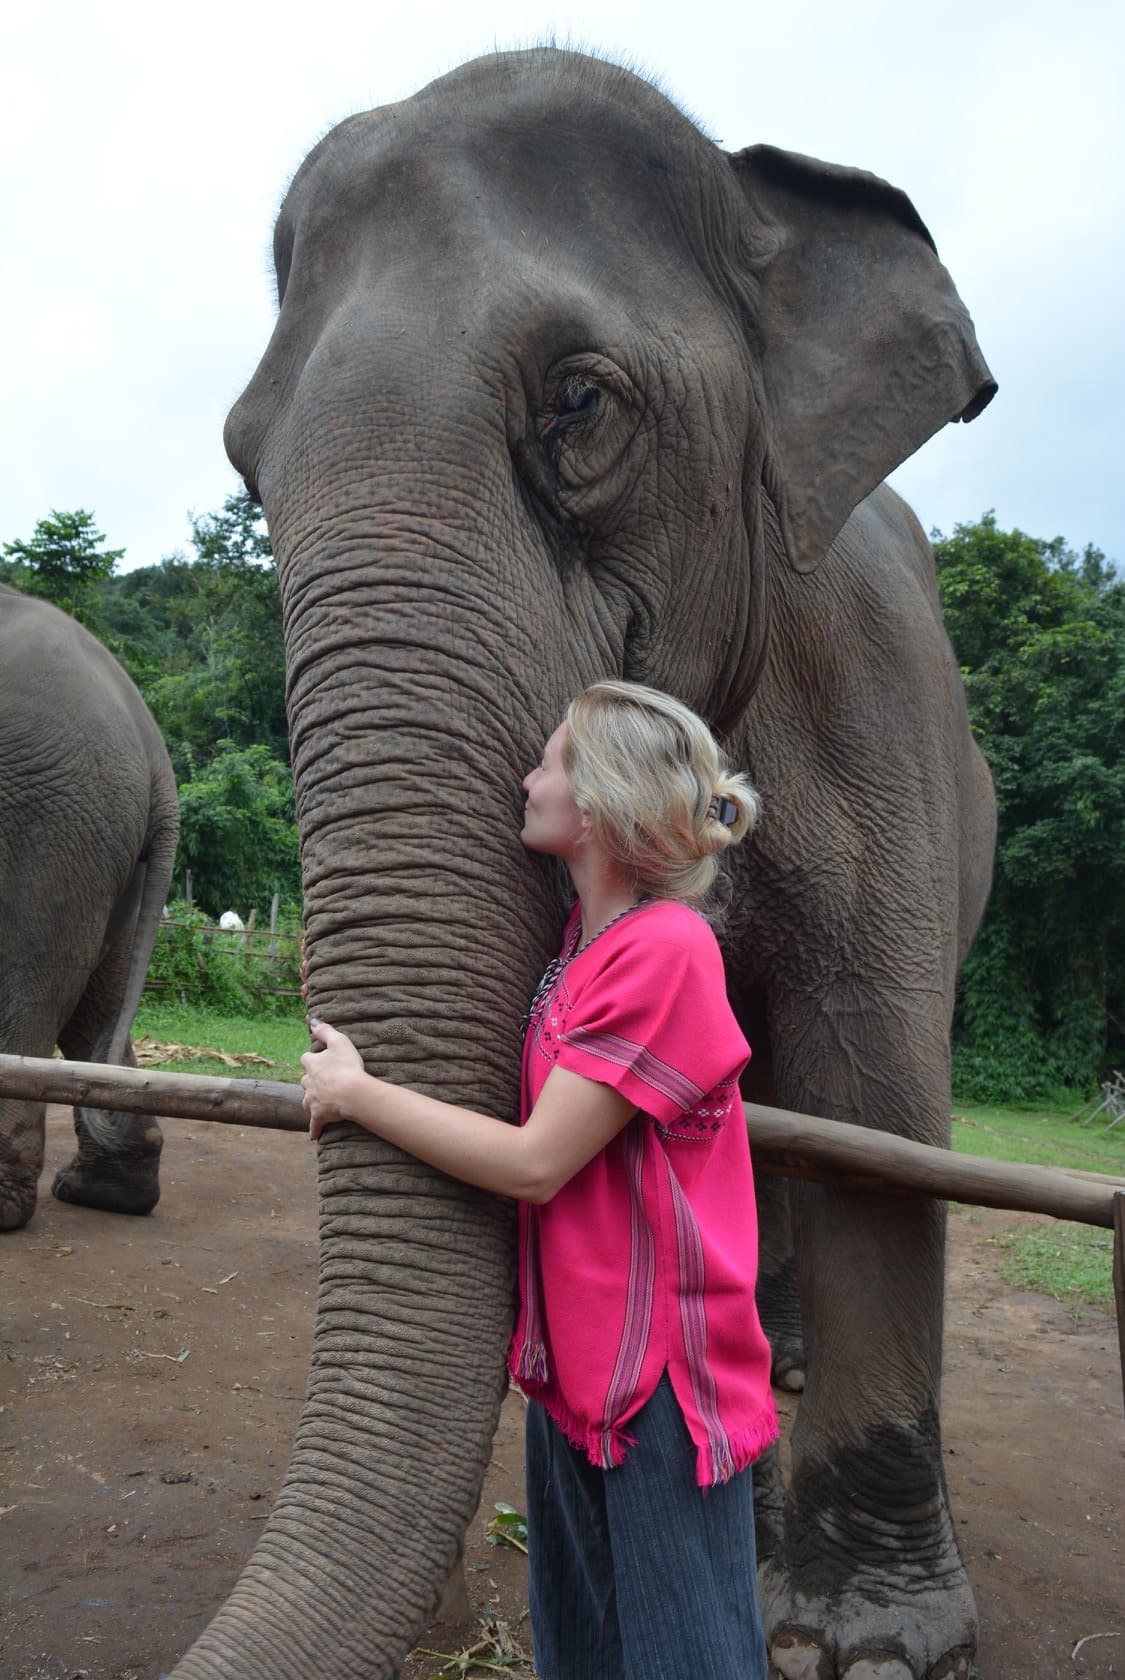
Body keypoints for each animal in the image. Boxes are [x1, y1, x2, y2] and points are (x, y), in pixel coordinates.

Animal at [0, 584, 179, 1231]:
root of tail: (156, 759)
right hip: (101, 846)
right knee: (98, 996)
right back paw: (106, 1193)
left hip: (48, 824)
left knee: (26, 990)